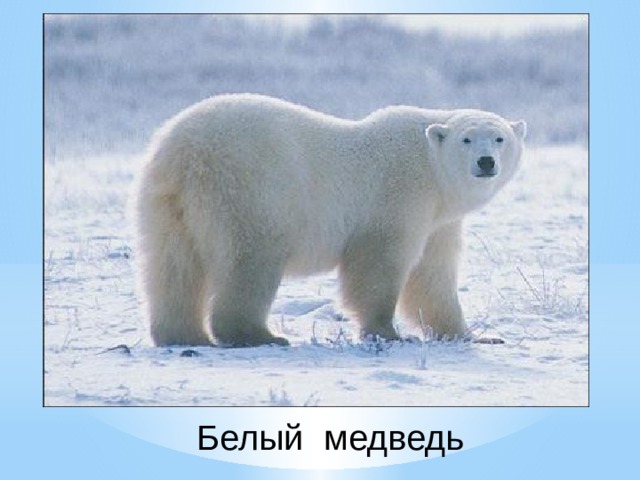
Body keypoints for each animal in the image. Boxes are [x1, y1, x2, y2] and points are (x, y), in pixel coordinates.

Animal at [135, 94, 525, 347]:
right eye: (467, 139)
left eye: (500, 137)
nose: (486, 162)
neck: (430, 166)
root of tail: (184, 153)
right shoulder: (399, 195)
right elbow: (379, 263)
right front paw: (387, 332)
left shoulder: (438, 221)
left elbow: (433, 275)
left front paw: (474, 335)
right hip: (249, 190)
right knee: (250, 259)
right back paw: (259, 335)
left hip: (166, 203)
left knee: (173, 266)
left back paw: (183, 334)